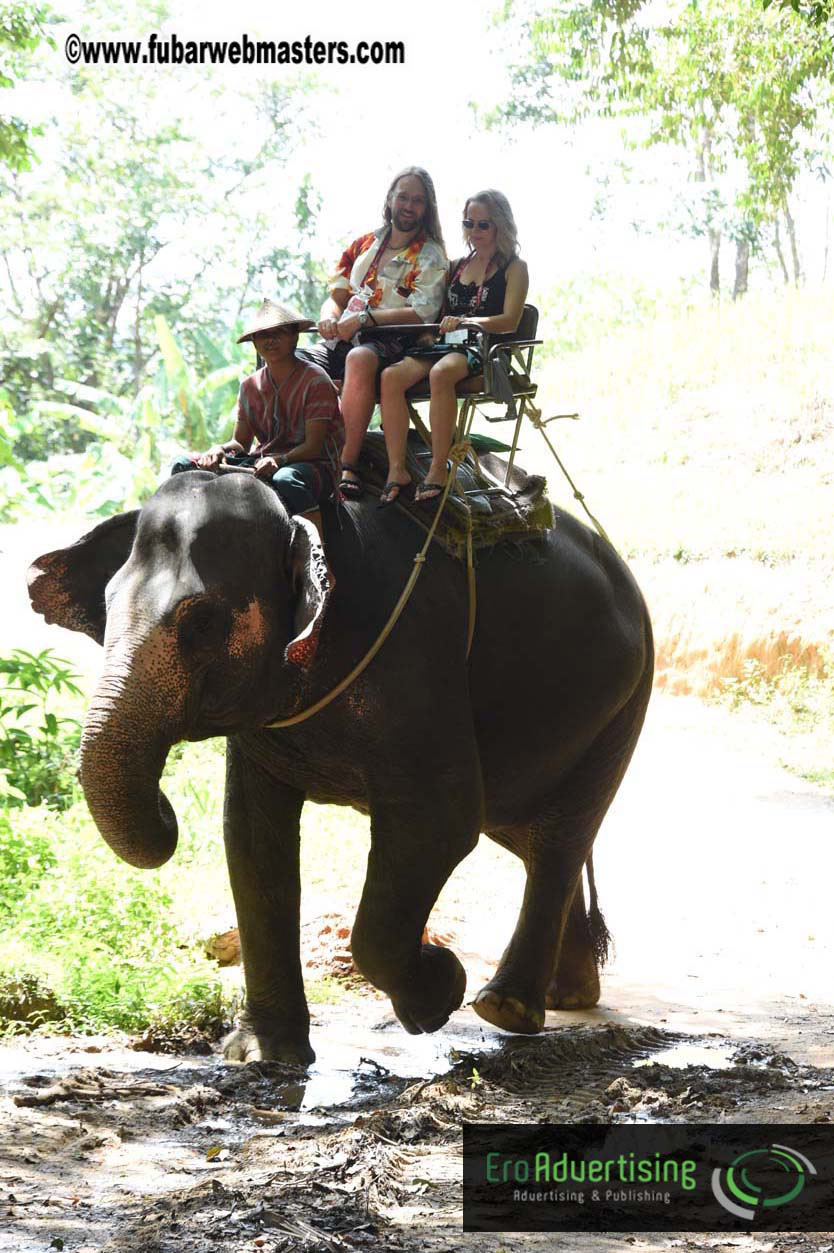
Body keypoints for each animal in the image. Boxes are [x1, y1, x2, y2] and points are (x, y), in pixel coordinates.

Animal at [28, 458, 653, 1065]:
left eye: (201, 622)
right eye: (106, 607)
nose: (165, 807)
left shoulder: (415, 658)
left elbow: (440, 823)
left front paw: (439, 992)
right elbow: (250, 837)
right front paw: (263, 1054)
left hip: (625, 701)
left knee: (557, 839)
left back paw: (508, 1008)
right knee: (526, 832)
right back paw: (567, 995)